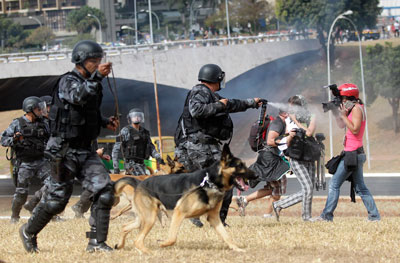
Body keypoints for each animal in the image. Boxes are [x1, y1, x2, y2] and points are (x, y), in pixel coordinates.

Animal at [113, 145, 256, 255]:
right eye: (240, 166)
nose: (257, 176)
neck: (209, 182)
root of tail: (139, 183)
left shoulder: (214, 218)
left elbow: (227, 236)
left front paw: (237, 249)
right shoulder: (178, 213)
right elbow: (172, 238)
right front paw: (162, 243)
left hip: (143, 218)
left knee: (125, 227)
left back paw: (120, 245)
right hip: (150, 218)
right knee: (137, 240)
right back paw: (150, 252)